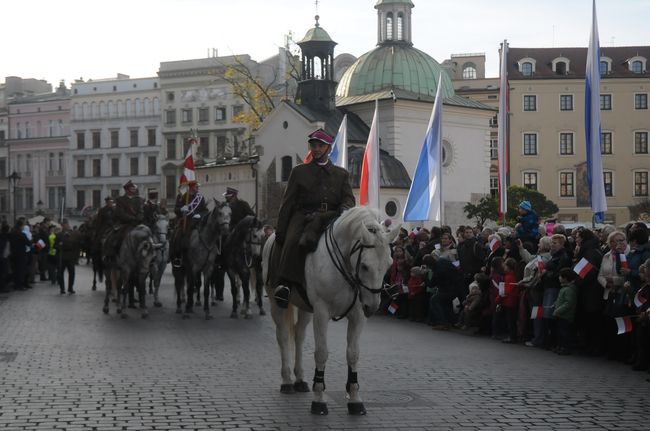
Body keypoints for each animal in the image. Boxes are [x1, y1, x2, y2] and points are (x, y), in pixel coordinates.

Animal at [262, 208, 394, 416]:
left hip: (305, 308)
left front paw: (355, 399)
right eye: (365, 266)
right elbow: (322, 353)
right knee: (282, 336)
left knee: (299, 336)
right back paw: (287, 381)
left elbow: (353, 354)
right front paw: (319, 399)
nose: (372, 307)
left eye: (389, 264)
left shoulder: (357, 316)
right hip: (278, 304)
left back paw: (299, 379)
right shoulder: (322, 313)